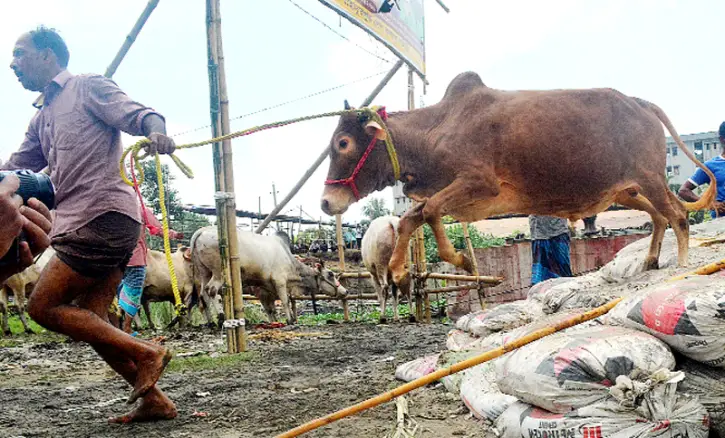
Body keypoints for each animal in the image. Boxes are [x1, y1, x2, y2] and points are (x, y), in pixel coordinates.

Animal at [320, 73, 712, 288]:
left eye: (343, 143)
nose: (326, 202)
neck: (434, 131)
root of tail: (640, 103)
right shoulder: (457, 197)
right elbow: (410, 218)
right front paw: (399, 270)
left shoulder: (479, 183)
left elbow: (428, 212)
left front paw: (461, 261)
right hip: (626, 191)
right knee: (659, 216)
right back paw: (649, 261)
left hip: (651, 180)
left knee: (678, 215)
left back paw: (681, 266)